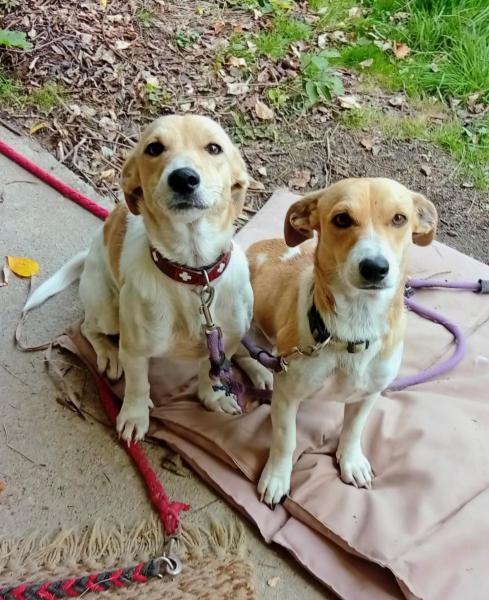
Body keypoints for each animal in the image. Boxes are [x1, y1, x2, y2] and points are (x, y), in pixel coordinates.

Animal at [24, 114, 272, 441]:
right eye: (154, 148)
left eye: (214, 148)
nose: (183, 178)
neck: (193, 274)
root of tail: (91, 252)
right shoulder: (135, 350)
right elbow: (139, 385)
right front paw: (134, 416)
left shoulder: (225, 340)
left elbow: (213, 371)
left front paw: (213, 396)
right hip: (107, 311)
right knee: (89, 327)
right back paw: (108, 354)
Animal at [246, 177, 438, 505]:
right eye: (342, 219)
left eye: (399, 219)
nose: (375, 268)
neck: (352, 331)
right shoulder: (287, 395)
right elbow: (286, 439)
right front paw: (276, 478)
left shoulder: (368, 394)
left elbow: (353, 430)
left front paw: (351, 461)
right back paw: (258, 371)